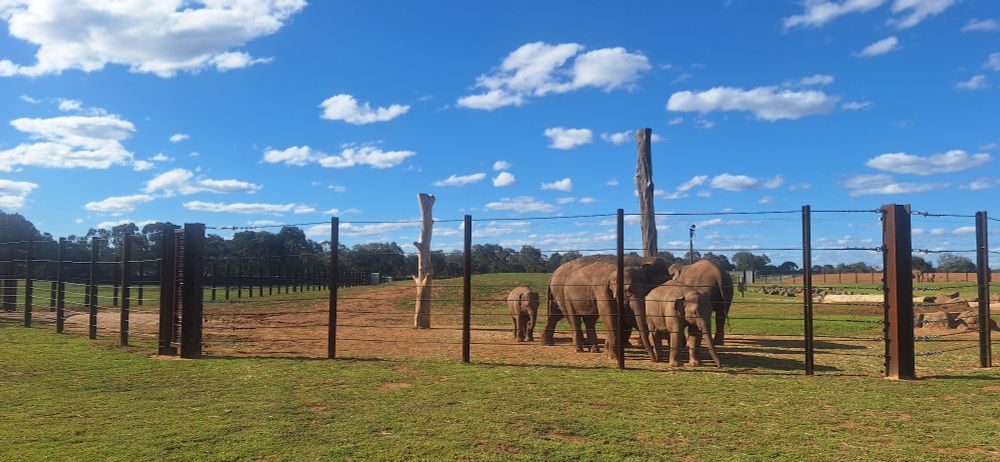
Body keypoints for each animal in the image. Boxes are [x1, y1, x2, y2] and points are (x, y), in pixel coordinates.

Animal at [541, 255, 670, 360]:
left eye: (646, 288)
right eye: (628, 290)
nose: (655, 359)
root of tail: (553, 274)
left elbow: (626, 317)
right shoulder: (603, 290)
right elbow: (612, 316)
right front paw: (615, 354)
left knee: (558, 316)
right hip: (563, 294)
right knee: (570, 317)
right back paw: (578, 348)